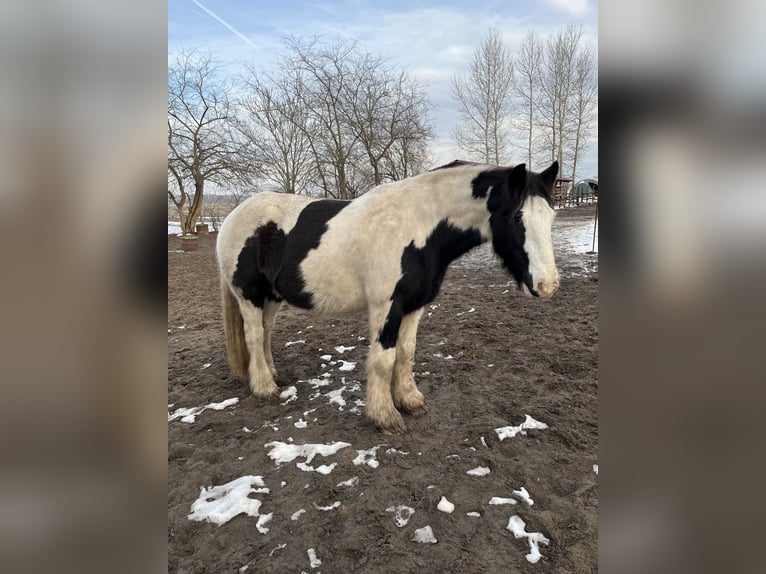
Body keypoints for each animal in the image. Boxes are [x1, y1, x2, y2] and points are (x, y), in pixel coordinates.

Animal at [216, 161, 560, 434]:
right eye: (516, 218)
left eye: (551, 217)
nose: (548, 285)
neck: (419, 224)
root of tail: (231, 217)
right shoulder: (387, 307)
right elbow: (383, 359)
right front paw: (384, 416)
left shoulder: (415, 305)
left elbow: (406, 353)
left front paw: (409, 399)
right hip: (249, 296)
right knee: (253, 335)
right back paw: (264, 387)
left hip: (272, 297)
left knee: (265, 333)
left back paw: (272, 374)